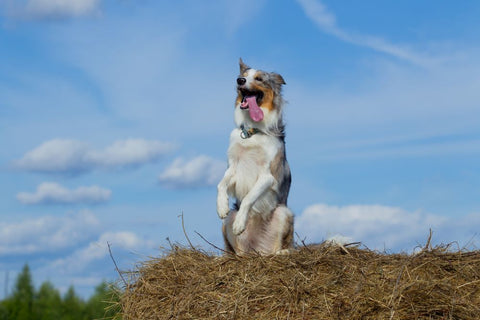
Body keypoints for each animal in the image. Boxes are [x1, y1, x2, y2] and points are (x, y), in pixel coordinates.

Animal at [217, 59, 292, 255]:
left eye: (259, 78)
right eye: (242, 76)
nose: (240, 80)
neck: (252, 132)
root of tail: (258, 252)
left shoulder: (268, 176)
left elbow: (249, 197)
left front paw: (240, 224)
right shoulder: (233, 167)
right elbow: (221, 184)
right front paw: (221, 206)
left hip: (283, 212)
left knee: (278, 249)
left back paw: (282, 252)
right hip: (229, 222)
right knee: (238, 252)